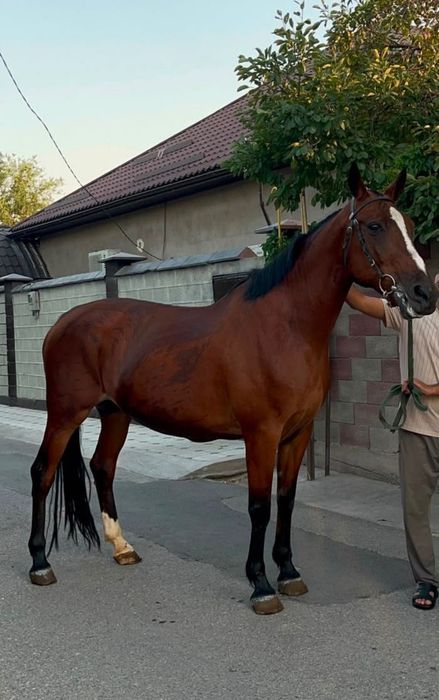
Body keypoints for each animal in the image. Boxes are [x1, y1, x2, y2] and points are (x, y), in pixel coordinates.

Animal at [28, 164, 437, 614]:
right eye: (375, 225)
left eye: (410, 225)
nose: (424, 294)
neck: (285, 327)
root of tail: (62, 323)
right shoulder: (261, 434)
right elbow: (259, 506)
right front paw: (261, 586)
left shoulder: (298, 434)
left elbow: (287, 500)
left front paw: (289, 573)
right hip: (65, 413)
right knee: (42, 472)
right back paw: (40, 564)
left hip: (115, 413)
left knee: (102, 467)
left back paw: (122, 547)